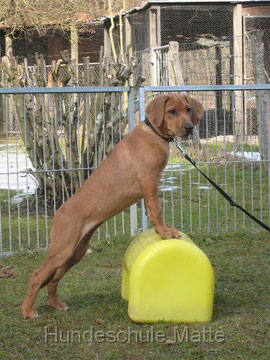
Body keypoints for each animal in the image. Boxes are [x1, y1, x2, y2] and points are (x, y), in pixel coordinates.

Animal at [21, 93, 202, 318]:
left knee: (53, 279)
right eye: (172, 111)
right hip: (62, 249)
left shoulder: (150, 183)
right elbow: (156, 208)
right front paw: (165, 232)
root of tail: (58, 214)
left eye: (188, 109)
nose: (189, 128)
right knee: (37, 275)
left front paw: (165, 229)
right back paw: (28, 310)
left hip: (76, 252)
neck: (154, 134)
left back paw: (56, 304)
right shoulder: (148, 180)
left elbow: (153, 210)